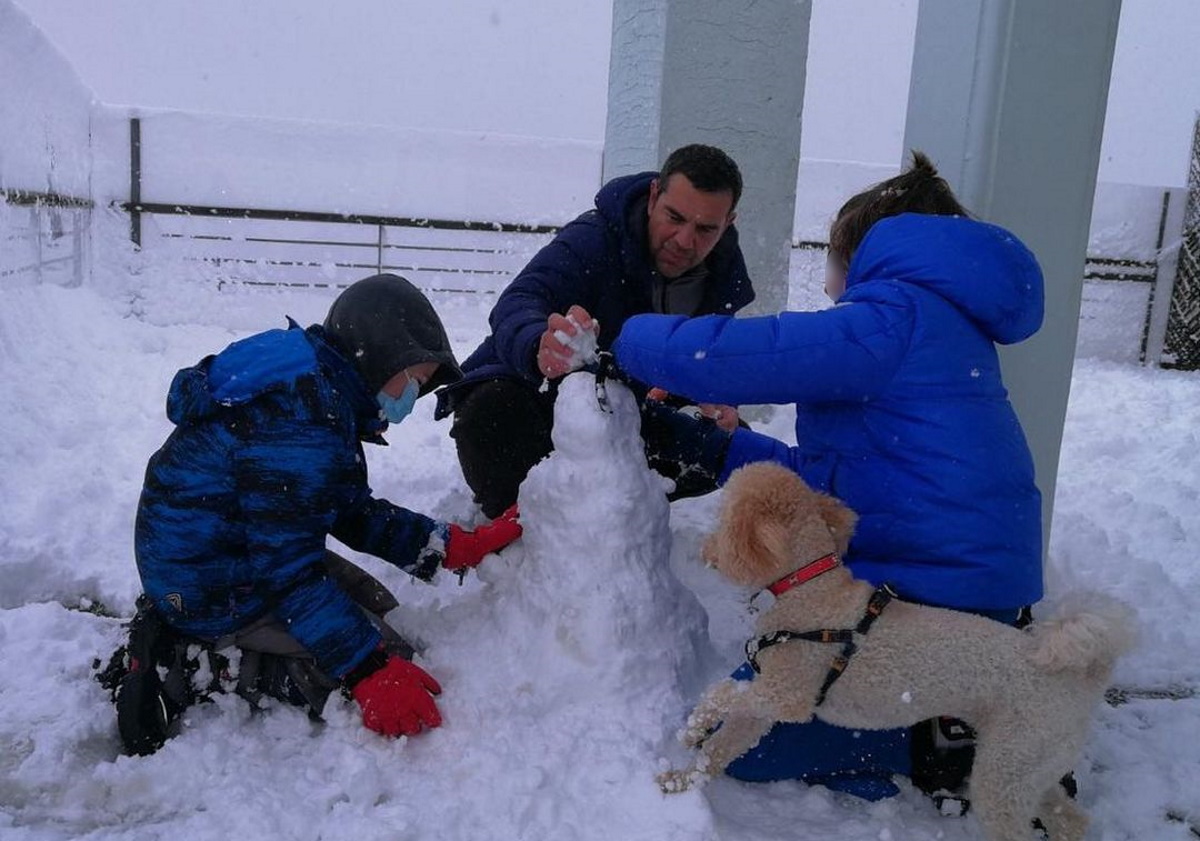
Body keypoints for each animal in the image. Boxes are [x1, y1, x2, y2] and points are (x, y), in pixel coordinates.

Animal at [662, 458, 1137, 839]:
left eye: (724, 520)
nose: (707, 550)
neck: (811, 591)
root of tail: (1084, 677)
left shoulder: (788, 694)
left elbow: (721, 693)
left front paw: (690, 727)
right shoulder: (764, 705)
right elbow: (722, 748)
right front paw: (680, 779)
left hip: (1006, 768)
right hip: (1029, 765)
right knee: (1069, 817)